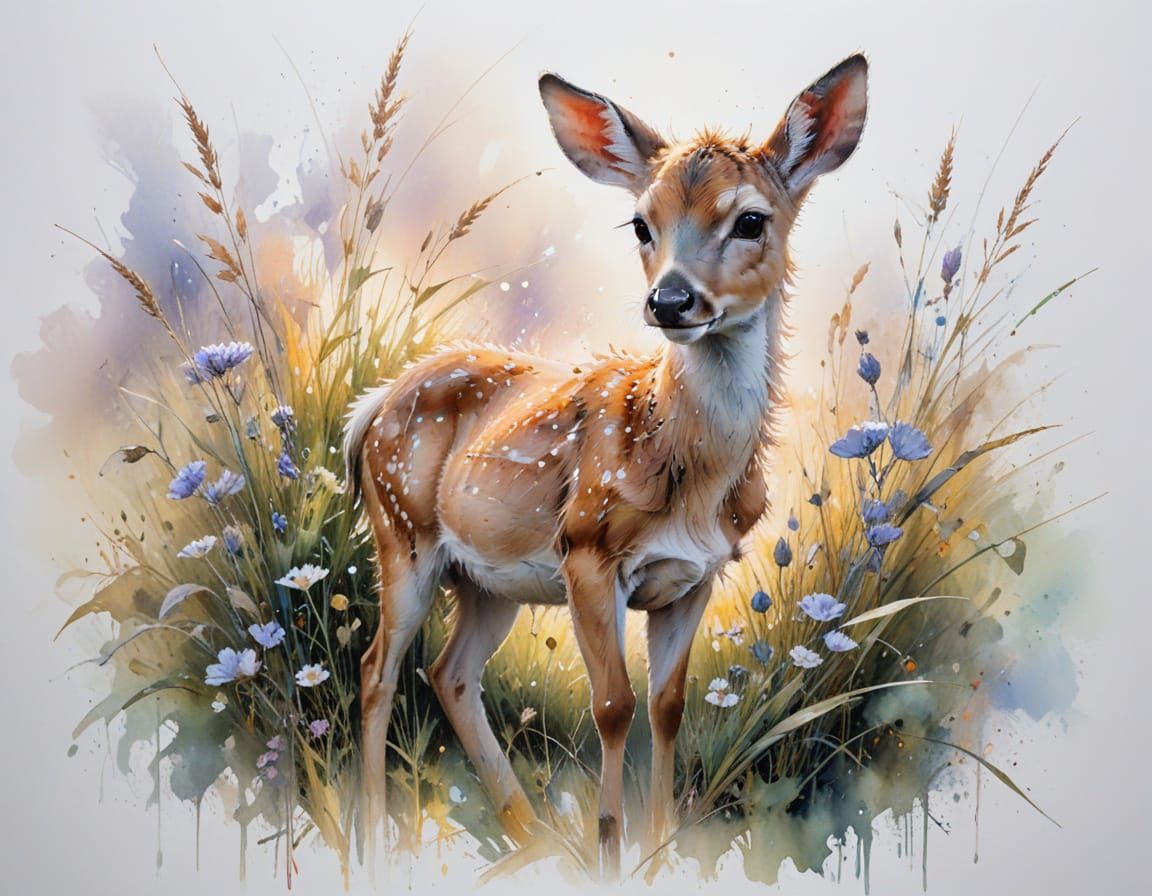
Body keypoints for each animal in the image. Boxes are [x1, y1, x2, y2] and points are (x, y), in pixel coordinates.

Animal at [344, 54, 868, 877]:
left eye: (751, 220)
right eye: (641, 223)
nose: (671, 300)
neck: (689, 476)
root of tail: (371, 407)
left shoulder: (696, 575)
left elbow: (666, 707)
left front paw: (659, 850)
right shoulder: (586, 549)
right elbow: (614, 707)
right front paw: (610, 850)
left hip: (488, 581)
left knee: (449, 673)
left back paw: (527, 835)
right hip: (403, 535)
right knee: (378, 670)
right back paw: (374, 840)